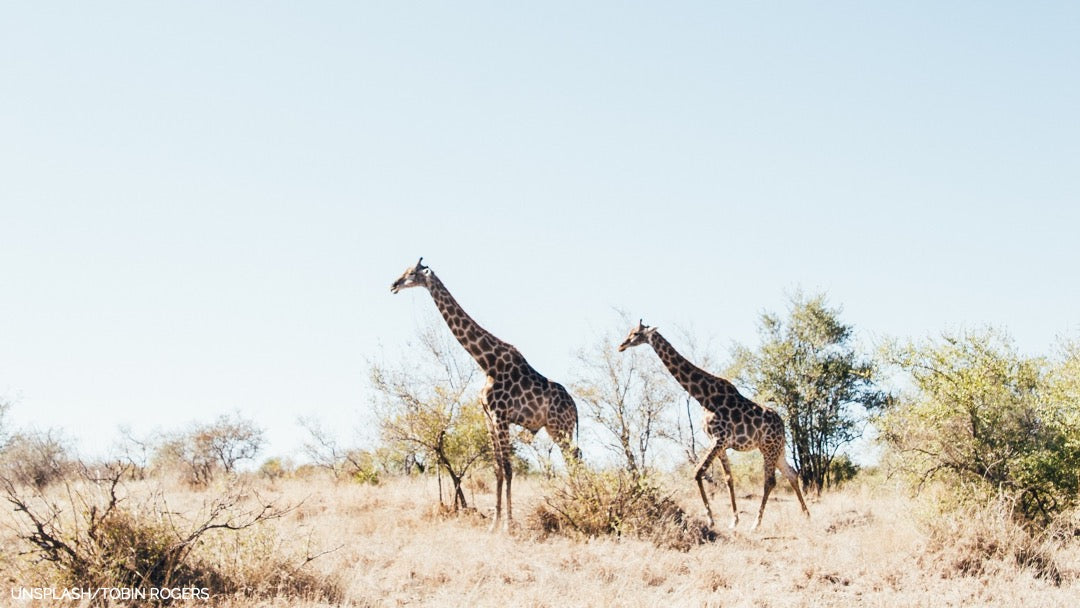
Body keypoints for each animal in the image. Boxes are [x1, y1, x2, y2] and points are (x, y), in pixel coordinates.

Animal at [390, 259, 578, 531]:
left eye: (411, 273)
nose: (393, 285)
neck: (487, 362)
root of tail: (575, 408)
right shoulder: (488, 416)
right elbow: (497, 468)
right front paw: (494, 524)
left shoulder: (501, 415)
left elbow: (508, 468)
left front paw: (508, 525)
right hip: (556, 428)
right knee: (574, 457)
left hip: (561, 427)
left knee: (574, 458)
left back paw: (578, 502)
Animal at [622, 321, 807, 531]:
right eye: (630, 332)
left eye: (636, 334)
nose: (622, 345)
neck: (703, 396)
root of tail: (782, 424)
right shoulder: (720, 443)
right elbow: (728, 479)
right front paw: (734, 521)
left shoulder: (719, 439)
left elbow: (698, 472)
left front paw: (711, 519)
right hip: (777, 448)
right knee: (792, 474)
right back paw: (806, 515)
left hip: (768, 447)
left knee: (770, 481)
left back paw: (756, 524)